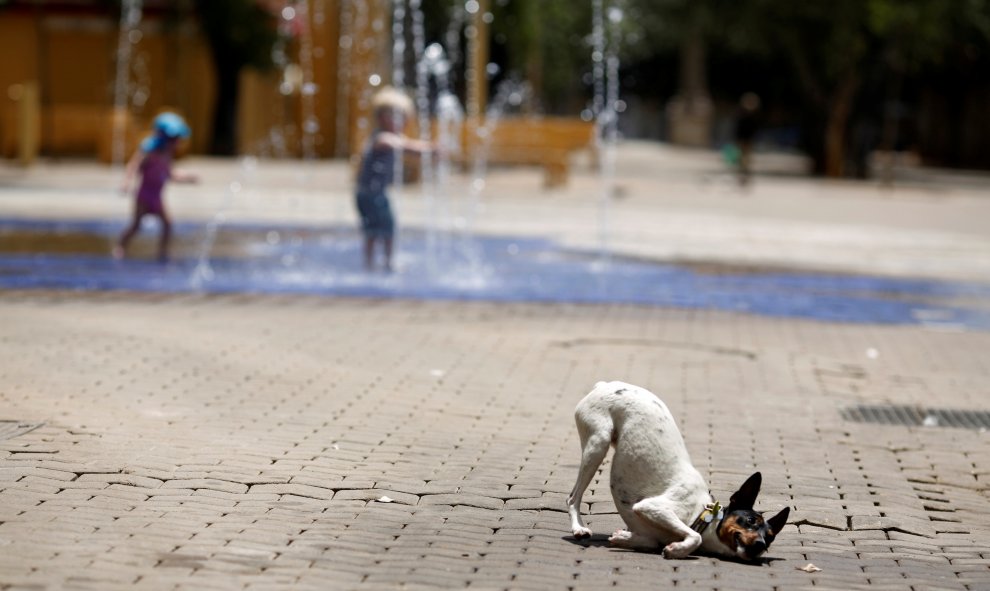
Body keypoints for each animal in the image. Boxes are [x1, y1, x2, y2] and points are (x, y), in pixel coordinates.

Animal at [564, 382, 792, 560]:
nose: (761, 545)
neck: (701, 514)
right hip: (598, 444)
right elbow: (694, 536)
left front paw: (625, 538)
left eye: (770, 537)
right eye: (751, 521)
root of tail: (604, 385)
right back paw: (578, 528)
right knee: (573, 497)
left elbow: (649, 541)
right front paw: (677, 550)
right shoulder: (652, 507)